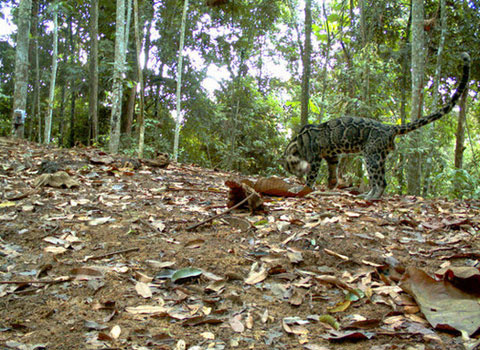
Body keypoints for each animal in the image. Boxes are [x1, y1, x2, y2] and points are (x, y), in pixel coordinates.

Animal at [284, 52, 470, 200]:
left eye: (292, 168)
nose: (297, 175)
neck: (297, 143)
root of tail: (390, 127)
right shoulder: (332, 156)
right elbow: (332, 170)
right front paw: (331, 184)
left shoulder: (315, 158)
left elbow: (312, 175)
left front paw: (305, 187)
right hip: (378, 156)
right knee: (378, 180)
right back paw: (366, 195)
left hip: (372, 155)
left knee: (381, 182)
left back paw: (371, 197)